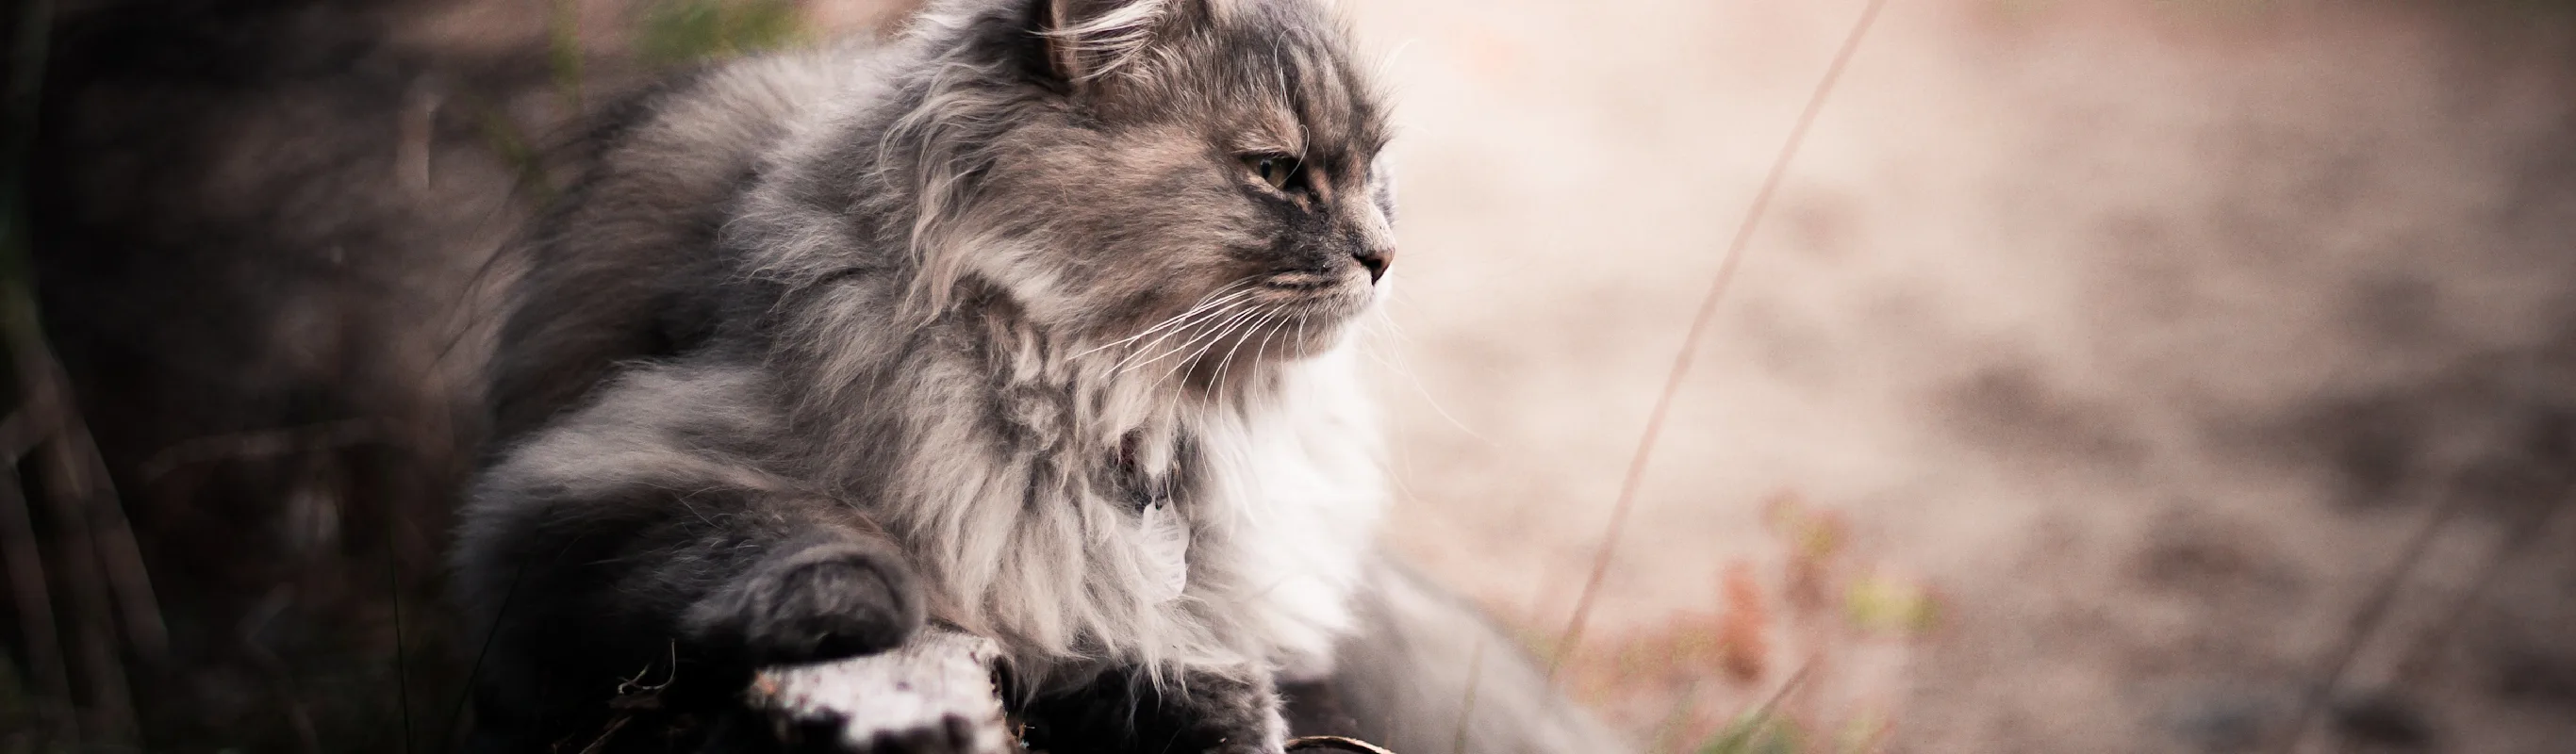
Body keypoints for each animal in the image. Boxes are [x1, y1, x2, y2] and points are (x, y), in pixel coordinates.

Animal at [453, 1, 1617, 751]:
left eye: (1375, 167)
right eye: (1276, 172)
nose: (1384, 254)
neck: (1124, 418)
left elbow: (1136, 650)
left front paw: (1206, 704)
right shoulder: (577, 492)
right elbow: (796, 547)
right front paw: (854, 602)